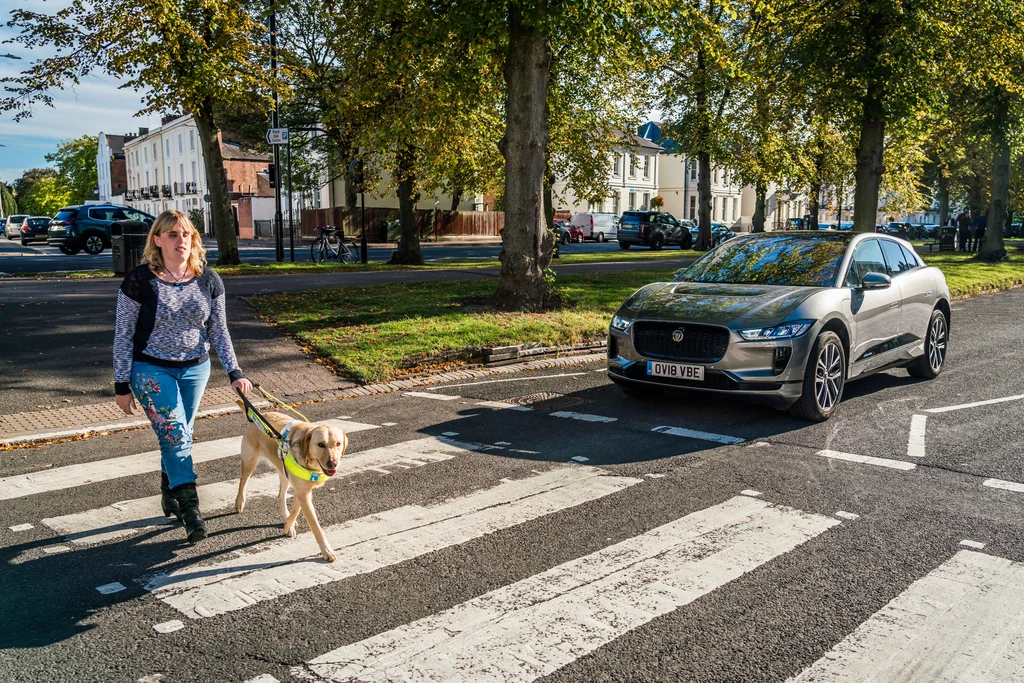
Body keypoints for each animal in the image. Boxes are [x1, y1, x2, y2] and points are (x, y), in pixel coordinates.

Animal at [234, 405, 348, 561]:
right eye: (321, 444)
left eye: (338, 444)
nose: (333, 464)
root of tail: (258, 415)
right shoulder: (303, 494)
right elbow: (316, 527)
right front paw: (327, 550)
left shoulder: (303, 492)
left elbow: (295, 510)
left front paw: (288, 525)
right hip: (249, 463)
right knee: (242, 481)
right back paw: (239, 502)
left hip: (284, 473)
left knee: (280, 497)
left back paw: (285, 516)